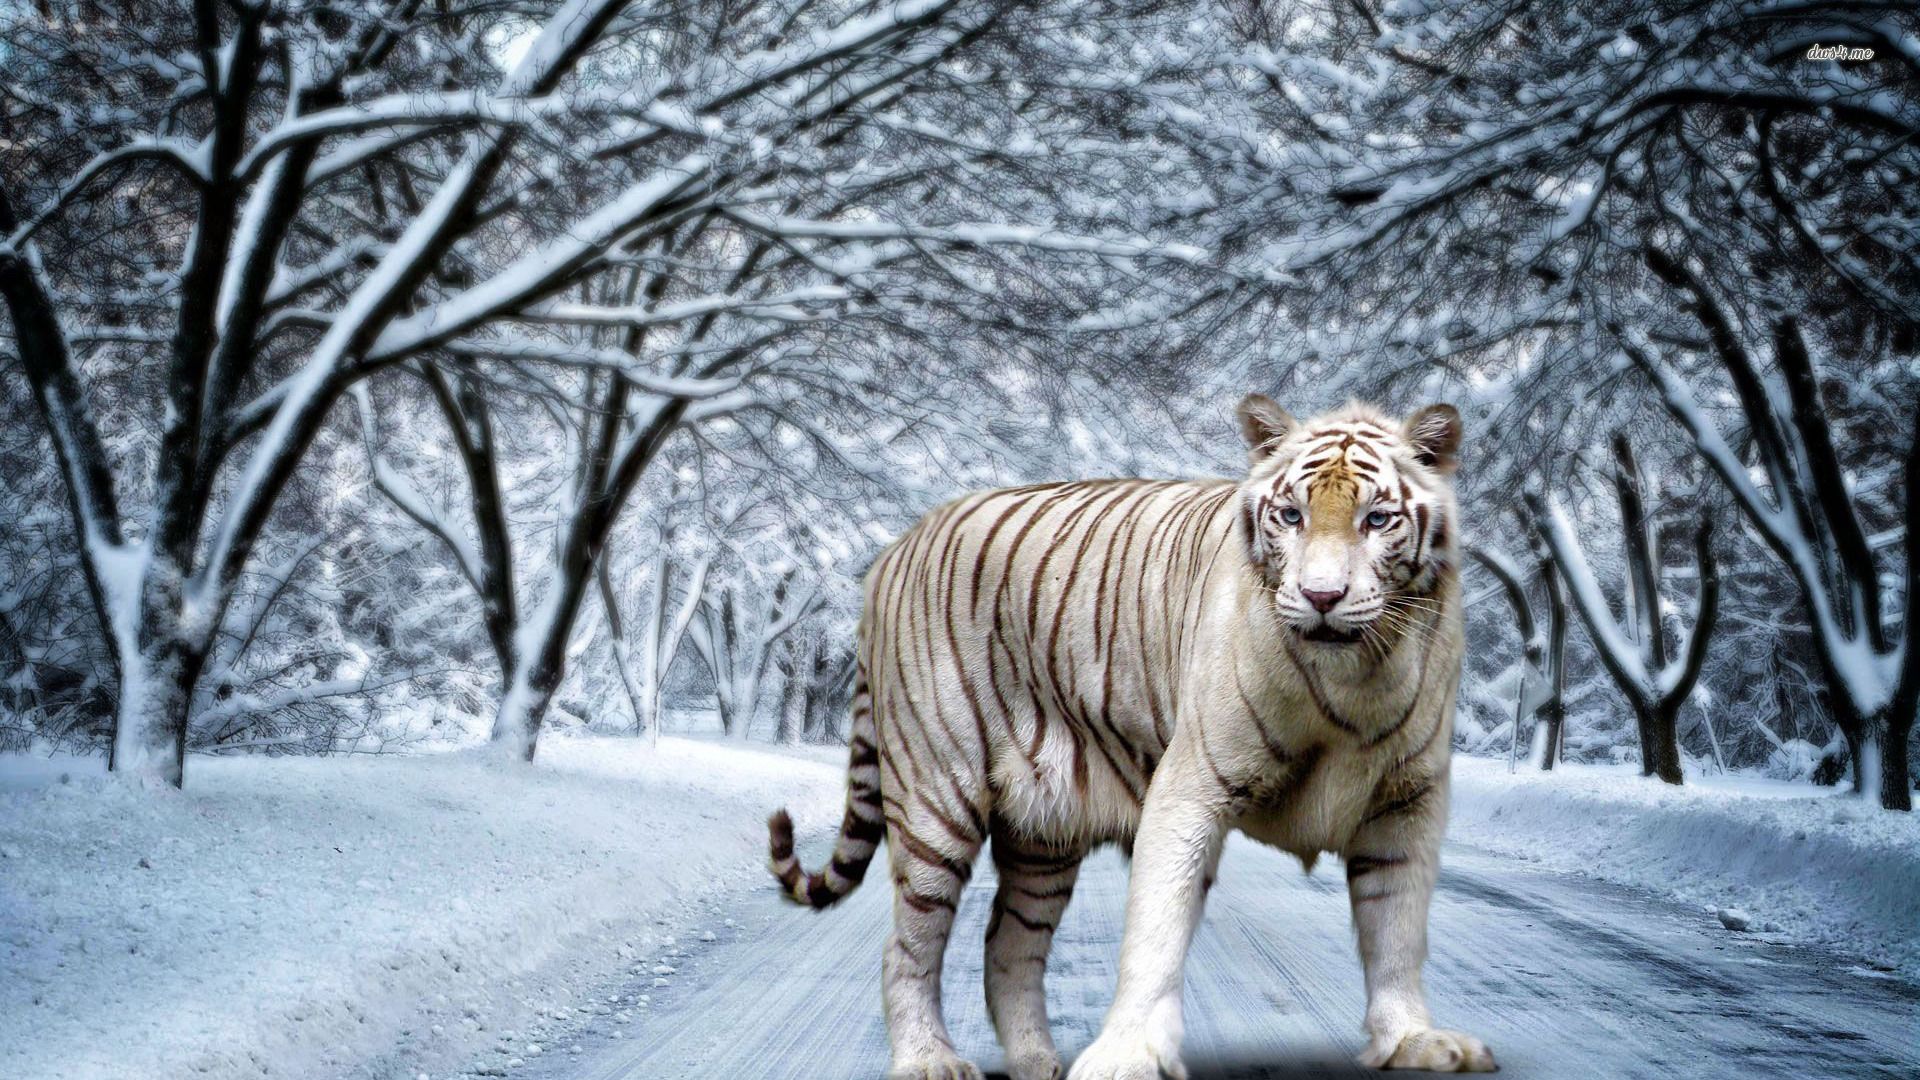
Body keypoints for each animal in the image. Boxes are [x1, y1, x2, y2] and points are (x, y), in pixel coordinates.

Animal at [766, 396, 1495, 1080]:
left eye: (1377, 520)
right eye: (1291, 516)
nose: (1321, 597)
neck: (1355, 682)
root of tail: (894, 546)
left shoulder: (1406, 802)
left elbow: (1397, 930)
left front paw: (1412, 1040)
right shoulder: (1191, 788)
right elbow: (1157, 931)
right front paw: (1128, 1054)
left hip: (1044, 833)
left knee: (1008, 944)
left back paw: (1035, 1059)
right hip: (936, 797)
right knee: (907, 946)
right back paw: (928, 1059)